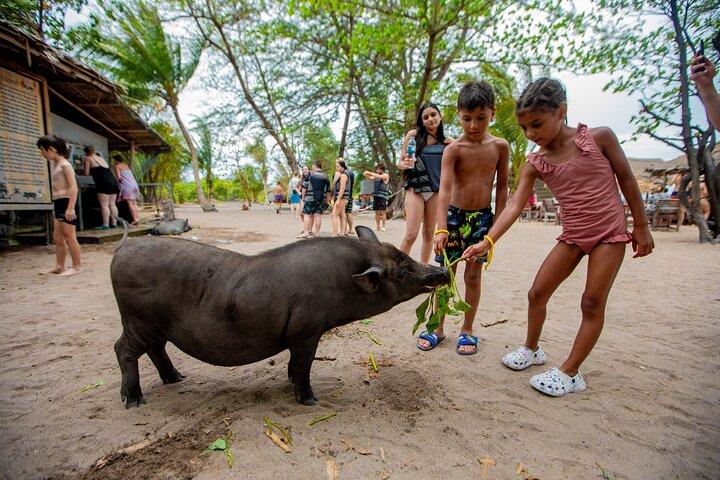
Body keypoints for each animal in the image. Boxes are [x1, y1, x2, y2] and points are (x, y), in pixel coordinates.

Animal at [111, 225, 449, 407]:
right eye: (402, 272)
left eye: (403, 255)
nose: (442, 271)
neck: (344, 280)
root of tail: (123, 246)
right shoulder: (307, 330)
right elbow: (303, 364)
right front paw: (310, 400)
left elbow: (293, 364)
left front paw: (289, 382)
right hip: (138, 320)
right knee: (123, 349)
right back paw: (135, 401)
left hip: (153, 326)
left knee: (156, 348)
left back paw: (177, 379)